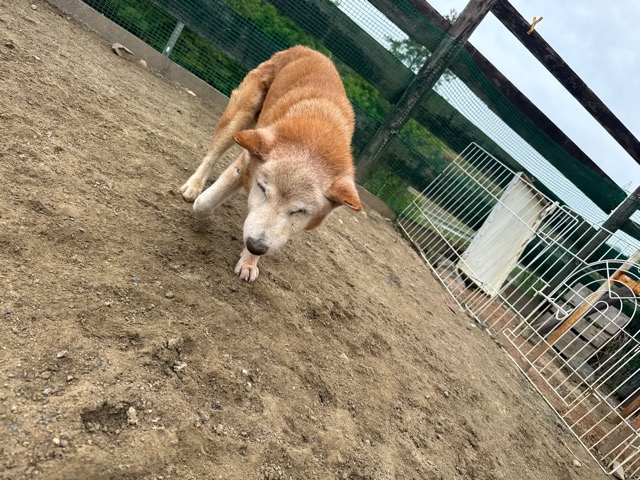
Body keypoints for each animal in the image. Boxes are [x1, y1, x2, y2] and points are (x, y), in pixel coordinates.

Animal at [180, 46, 362, 282]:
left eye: (299, 211)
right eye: (263, 189)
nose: (255, 246)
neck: (315, 138)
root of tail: (306, 49)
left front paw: (249, 261)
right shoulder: (245, 164)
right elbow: (203, 205)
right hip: (240, 118)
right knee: (212, 155)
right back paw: (193, 186)